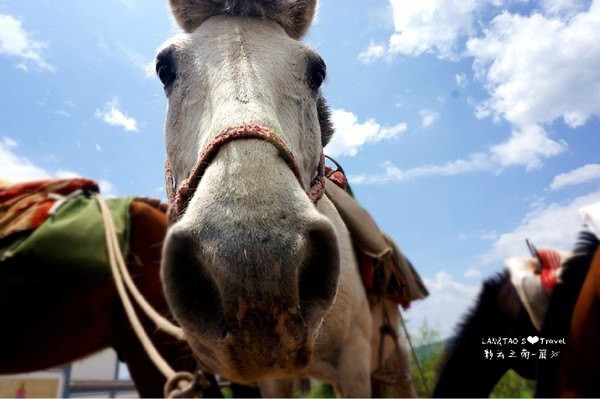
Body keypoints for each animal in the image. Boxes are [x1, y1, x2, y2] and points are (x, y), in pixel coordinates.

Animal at [155, 0, 418, 396]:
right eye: (164, 68)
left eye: (317, 71)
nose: (252, 261)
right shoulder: (275, 380)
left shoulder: (354, 369)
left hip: (395, 364)